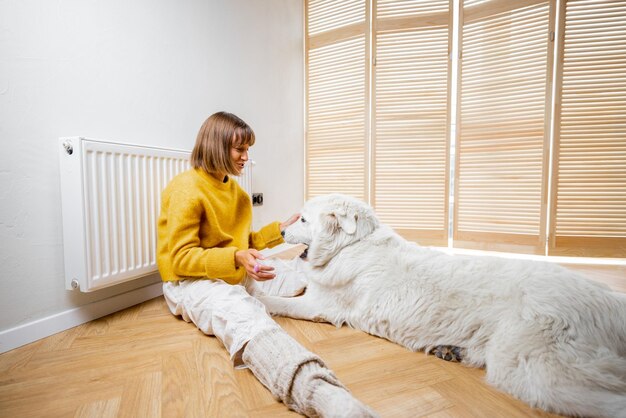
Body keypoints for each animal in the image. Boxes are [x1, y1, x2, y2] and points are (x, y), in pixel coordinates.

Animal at [260, 194, 624, 416]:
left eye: (303, 220)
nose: (280, 231)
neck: (351, 245)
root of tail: (610, 303)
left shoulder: (320, 306)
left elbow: (279, 303)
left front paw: (259, 297)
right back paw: (450, 350)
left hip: (532, 368)